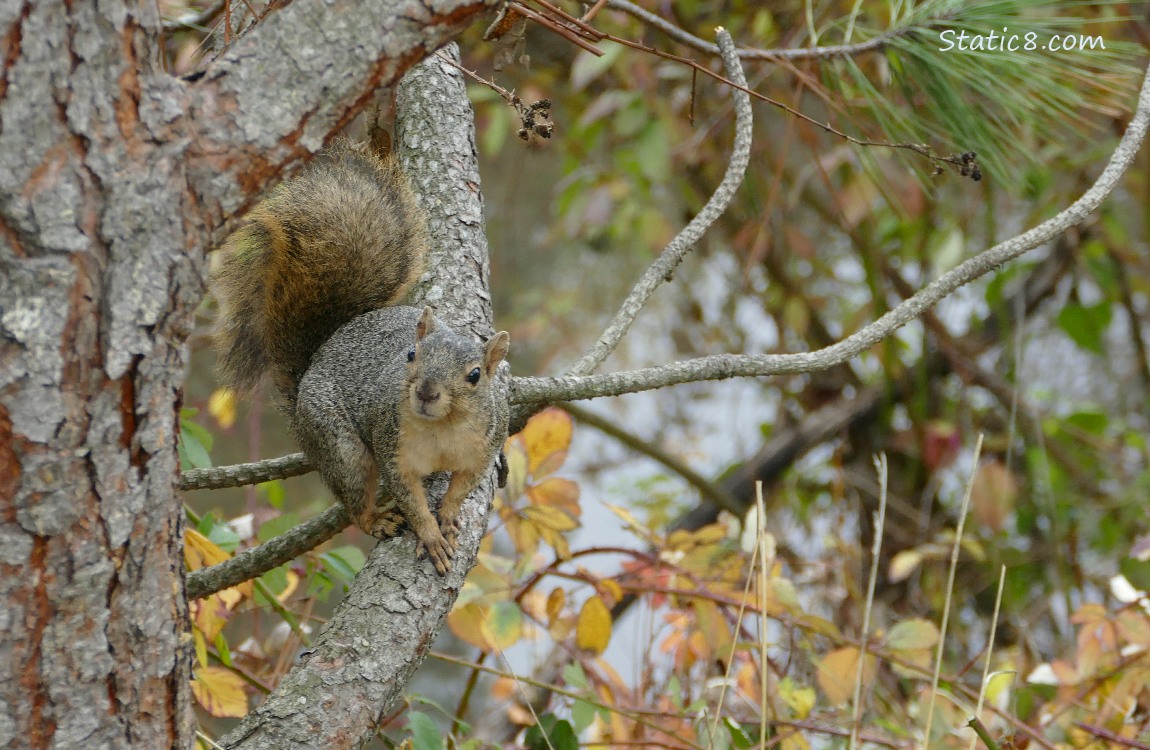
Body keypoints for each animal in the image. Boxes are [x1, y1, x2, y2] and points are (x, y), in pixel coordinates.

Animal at [211, 142, 510, 575]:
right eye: (411, 354)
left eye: (474, 376)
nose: (425, 392)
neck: (442, 429)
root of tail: (316, 361)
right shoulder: (392, 451)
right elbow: (411, 500)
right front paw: (431, 535)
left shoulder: (482, 446)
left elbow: (461, 487)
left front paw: (450, 516)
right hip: (339, 445)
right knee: (353, 499)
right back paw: (375, 519)